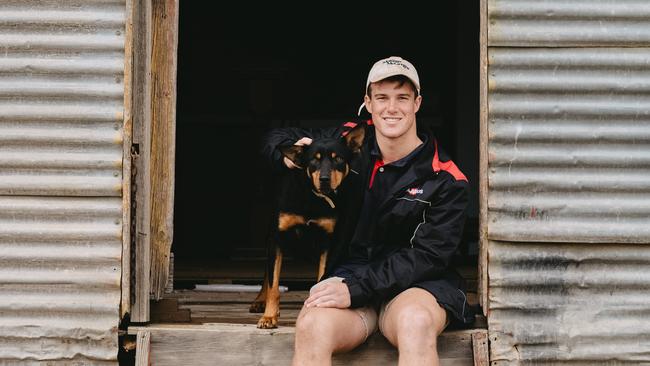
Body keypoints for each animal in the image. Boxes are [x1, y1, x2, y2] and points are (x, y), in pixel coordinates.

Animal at [249, 123, 364, 328]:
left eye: (338, 159)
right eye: (313, 160)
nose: (325, 179)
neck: (312, 196)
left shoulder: (328, 242)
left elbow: (321, 278)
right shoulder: (278, 238)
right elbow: (273, 284)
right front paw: (269, 316)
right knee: (267, 274)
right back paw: (259, 300)